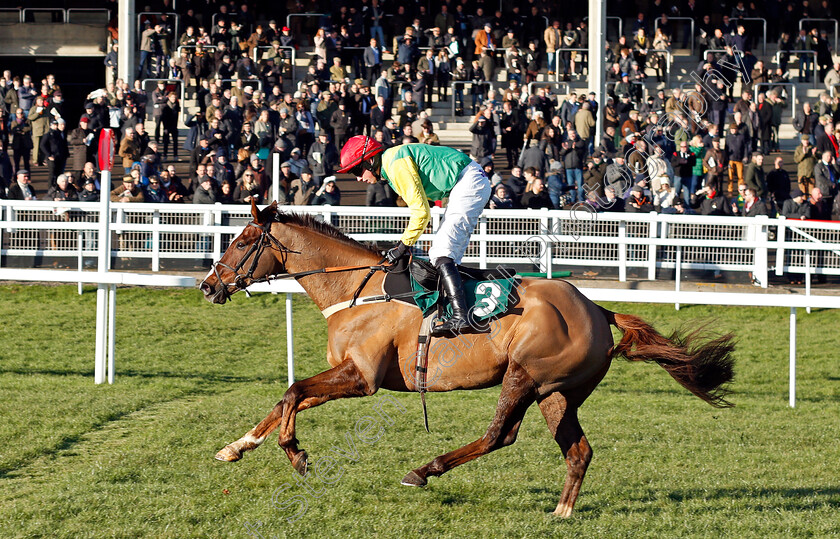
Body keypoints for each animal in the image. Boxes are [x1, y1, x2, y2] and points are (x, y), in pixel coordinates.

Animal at [199, 204, 736, 520]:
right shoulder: (346, 374)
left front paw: (296, 453)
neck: (355, 288)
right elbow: (286, 399)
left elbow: (293, 393)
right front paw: (235, 447)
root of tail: (597, 309)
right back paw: (561, 512)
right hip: (559, 392)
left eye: (242, 241)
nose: (207, 286)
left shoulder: (361, 377)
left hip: (524, 375)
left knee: (500, 435)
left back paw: (425, 470)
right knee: (578, 451)